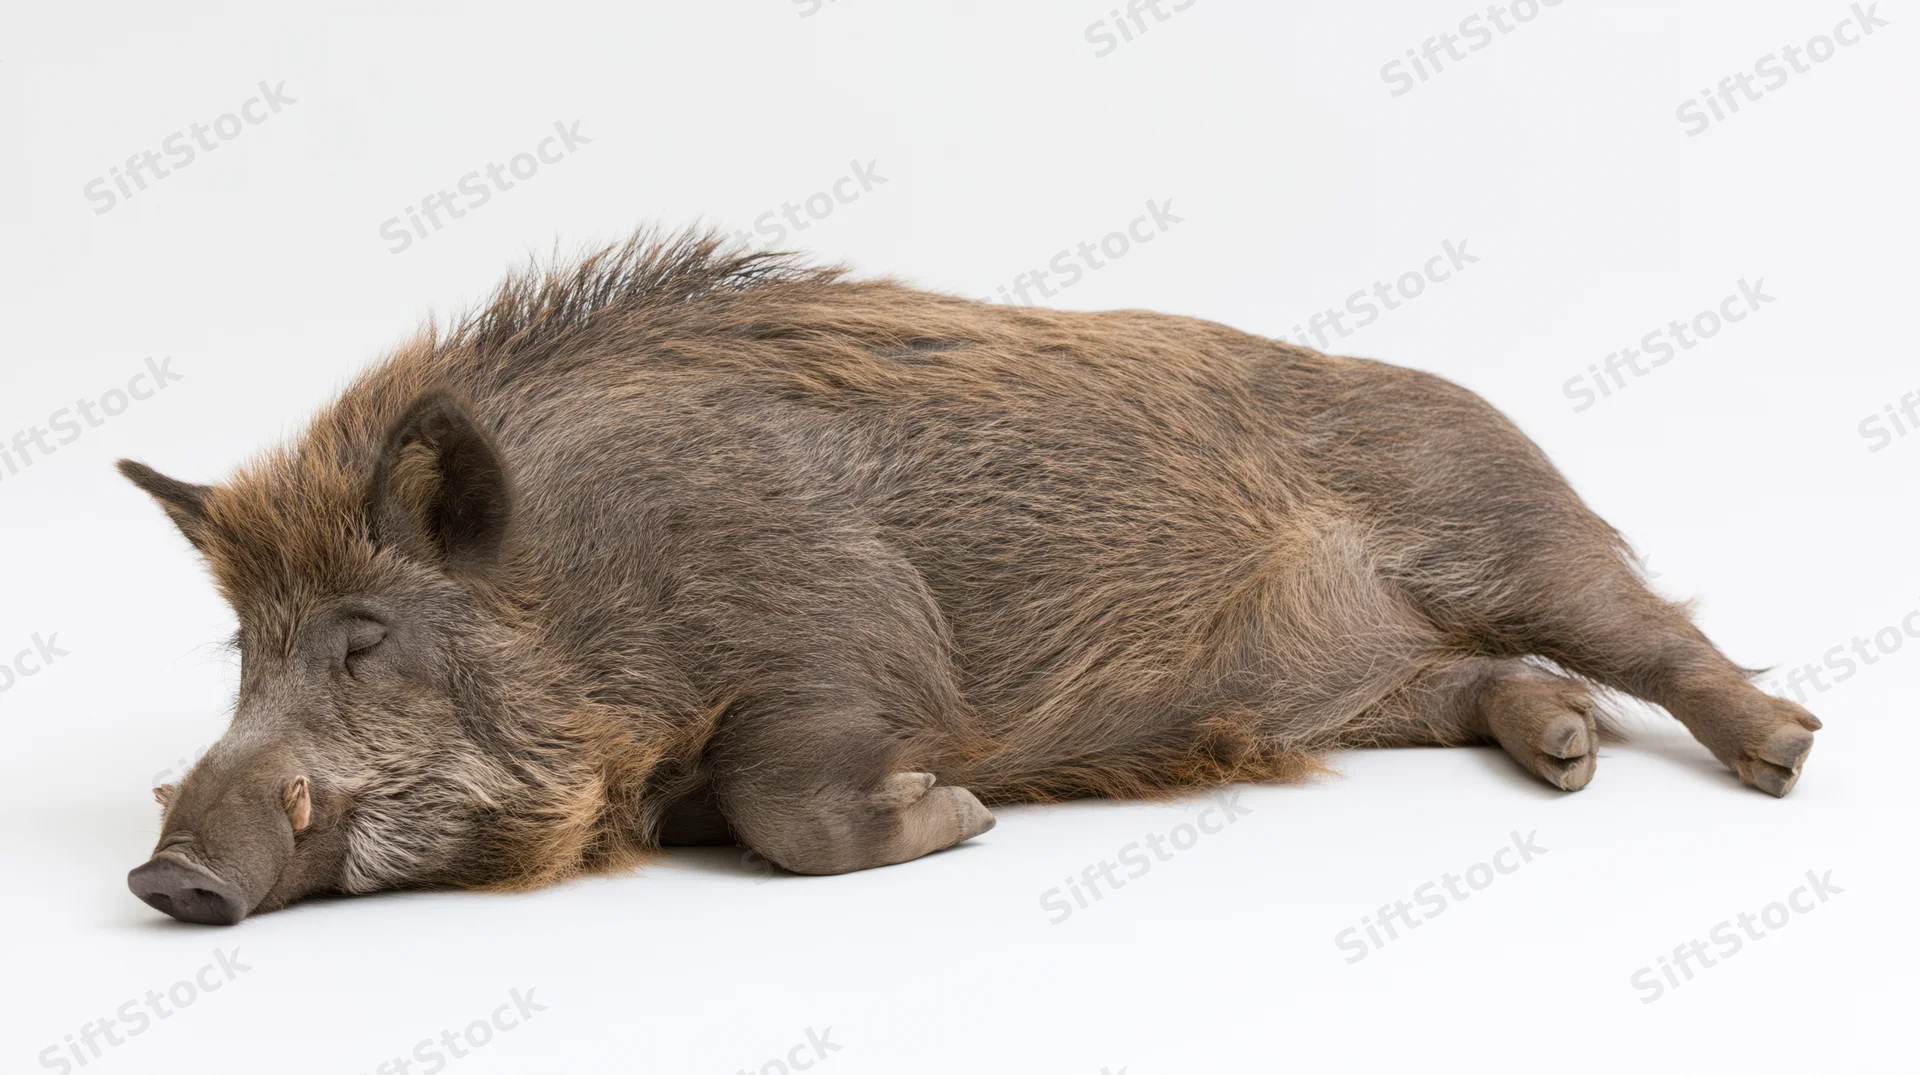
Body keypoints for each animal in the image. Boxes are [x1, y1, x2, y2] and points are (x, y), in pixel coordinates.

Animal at [120, 229, 1819, 925]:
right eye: (238, 652)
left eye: (363, 639)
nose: (165, 873)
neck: (597, 585)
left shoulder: (847, 649)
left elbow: (795, 806)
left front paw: (962, 815)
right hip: (1359, 685)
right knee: (1491, 680)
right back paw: (1569, 757)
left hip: (1520, 524)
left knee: (1652, 635)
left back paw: (1788, 755)